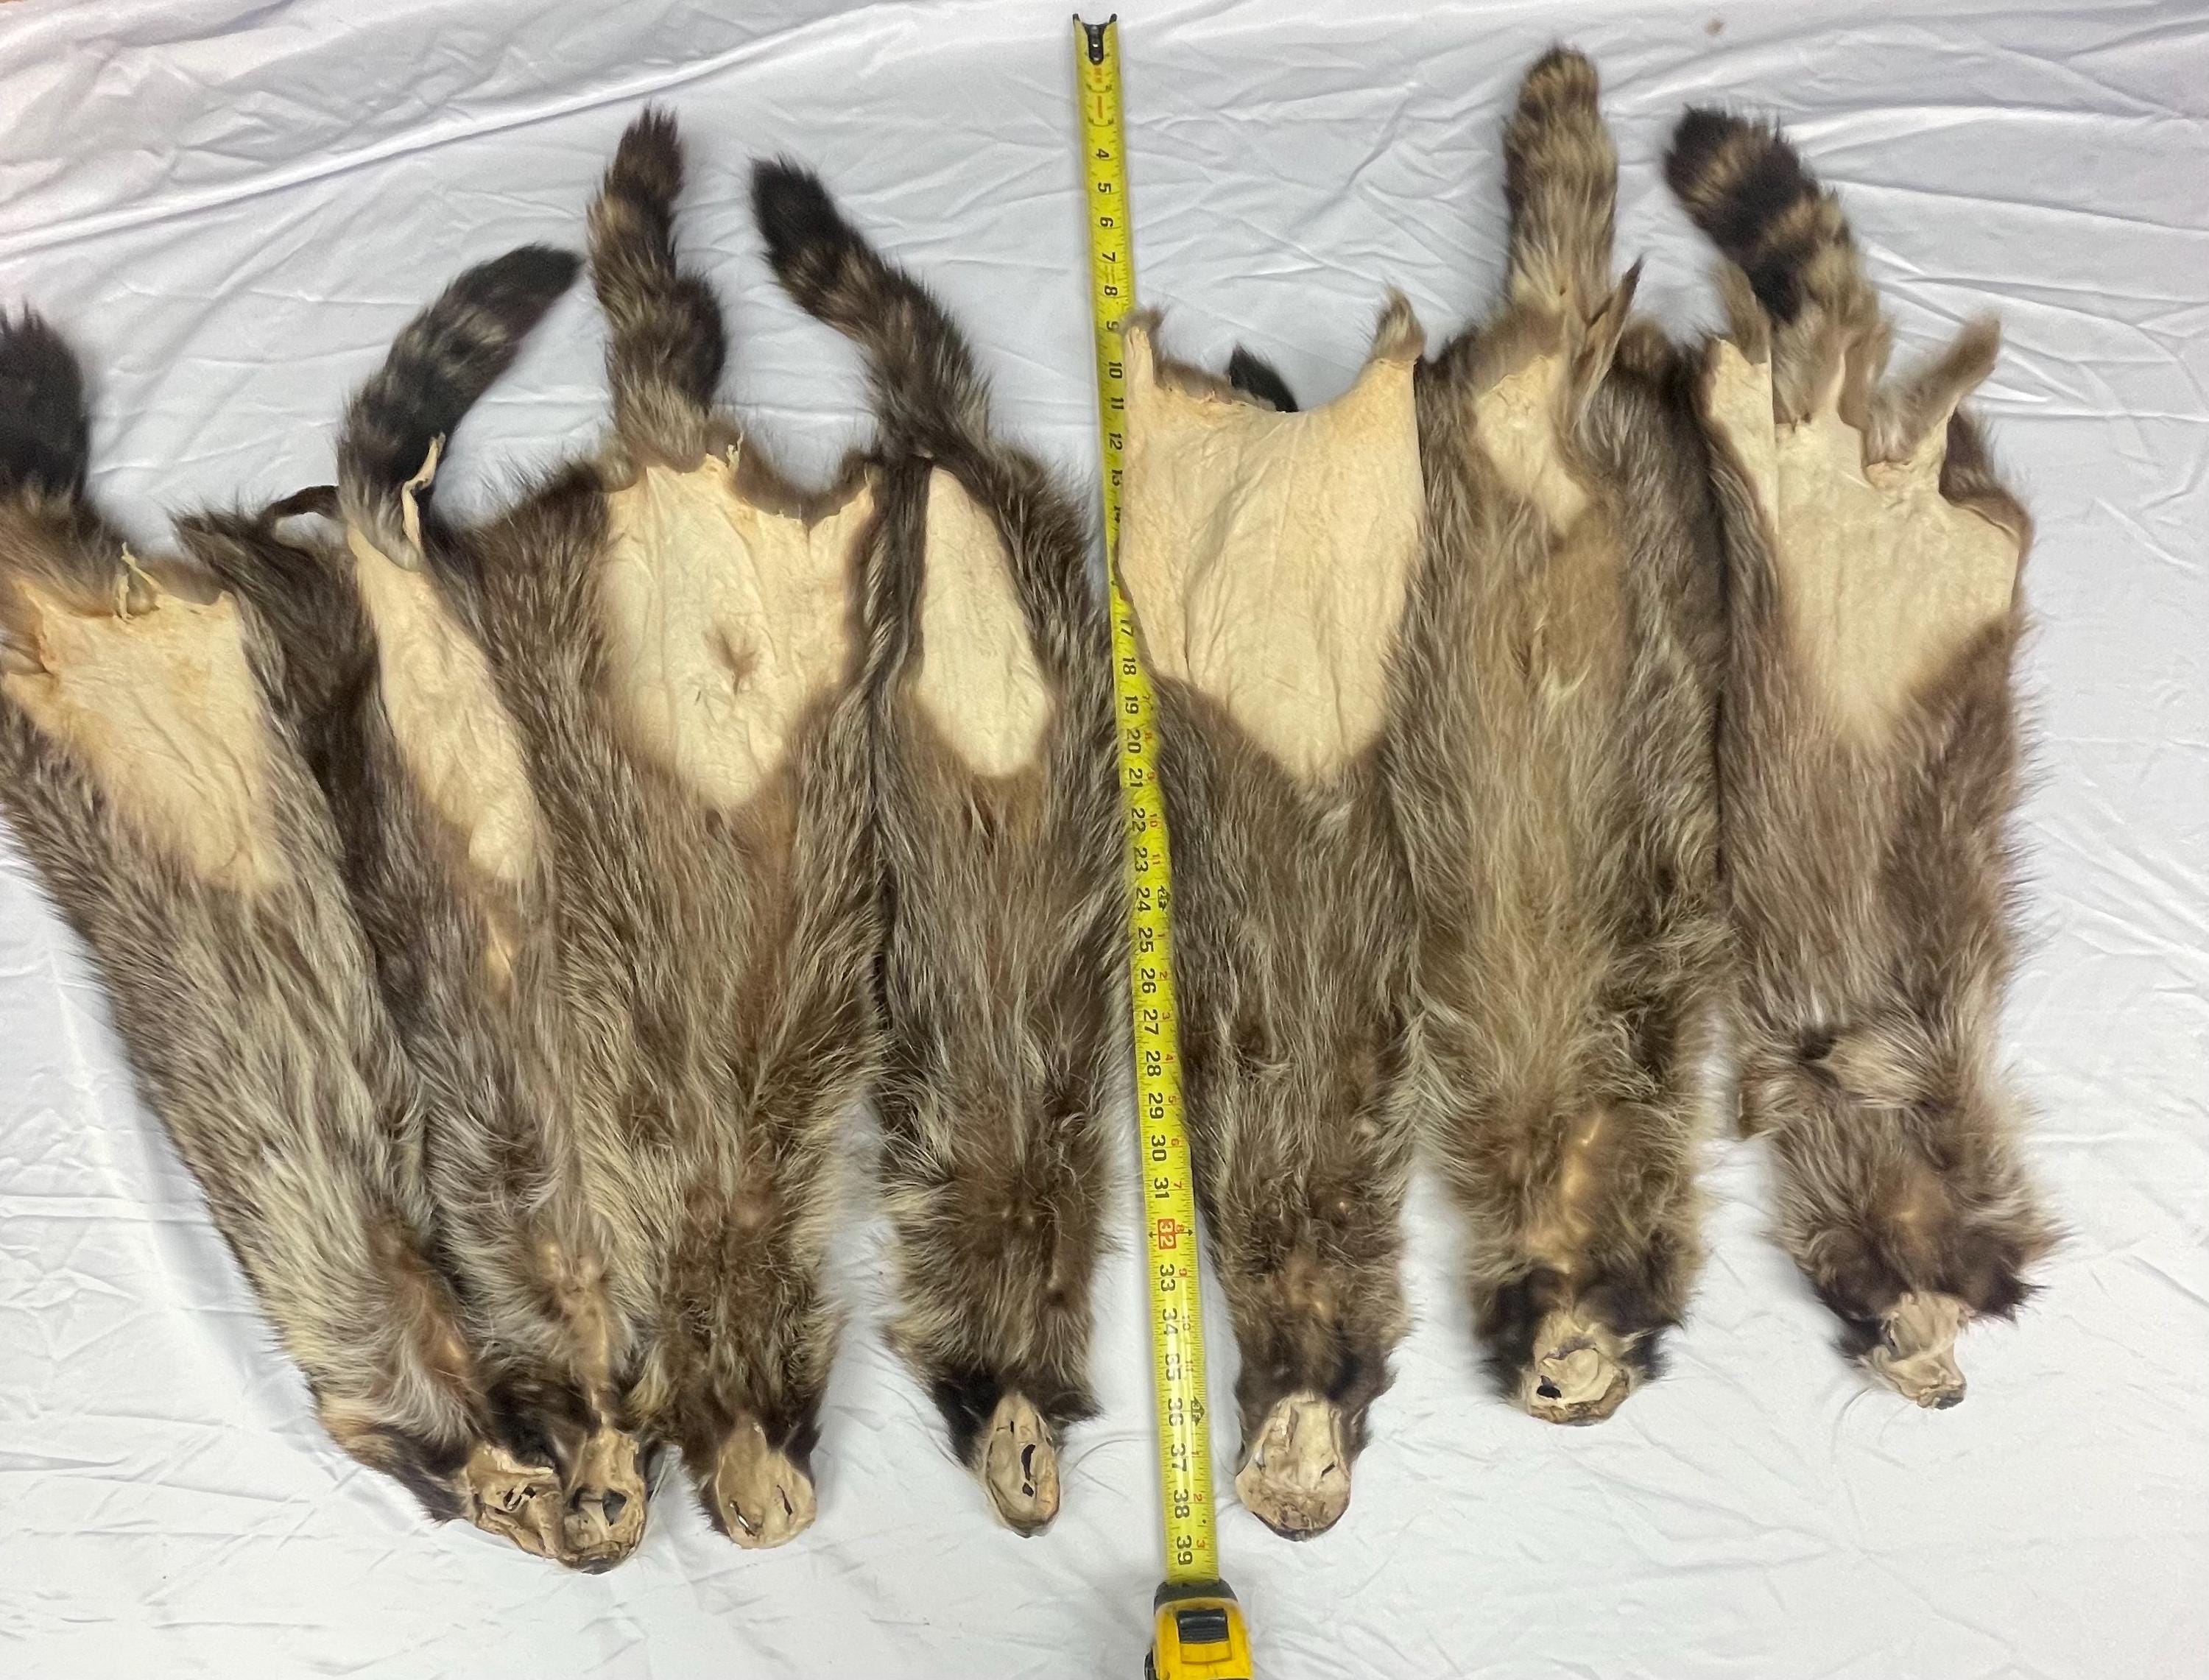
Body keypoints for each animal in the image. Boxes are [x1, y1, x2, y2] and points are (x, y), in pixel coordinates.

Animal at [1666, 109, 2055, 1404]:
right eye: (1855, 1311)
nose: (1943, 1392)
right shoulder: (1914, 1049)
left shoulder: (1940, 1032)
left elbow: (1888, 1057)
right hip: (1811, 494)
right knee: (1822, 375)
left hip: (1967, 544)